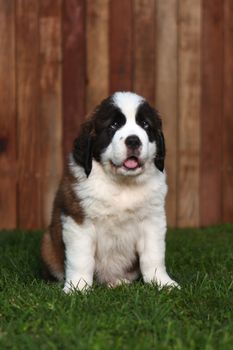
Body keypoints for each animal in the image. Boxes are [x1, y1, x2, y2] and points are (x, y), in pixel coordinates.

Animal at [40, 91, 178, 292]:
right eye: (113, 125)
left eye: (145, 125)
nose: (133, 140)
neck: (122, 183)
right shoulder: (79, 221)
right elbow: (81, 259)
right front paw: (77, 288)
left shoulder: (152, 220)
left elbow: (153, 255)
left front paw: (161, 282)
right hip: (47, 245)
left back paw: (117, 282)